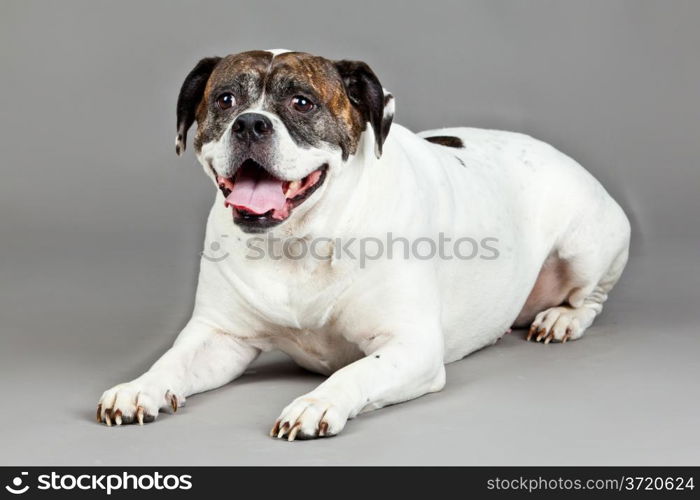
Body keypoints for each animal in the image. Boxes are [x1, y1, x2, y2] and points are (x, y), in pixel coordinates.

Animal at [97, 49, 628, 442]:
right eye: (225, 98)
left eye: (303, 103)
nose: (249, 123)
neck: (299, 244)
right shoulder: (219, 337)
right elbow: (172, 361)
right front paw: (139, 387)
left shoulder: (410, 347)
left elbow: (355, 373)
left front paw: (316, 402)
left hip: (586, 246)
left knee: (591, 298)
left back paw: (561, 319)